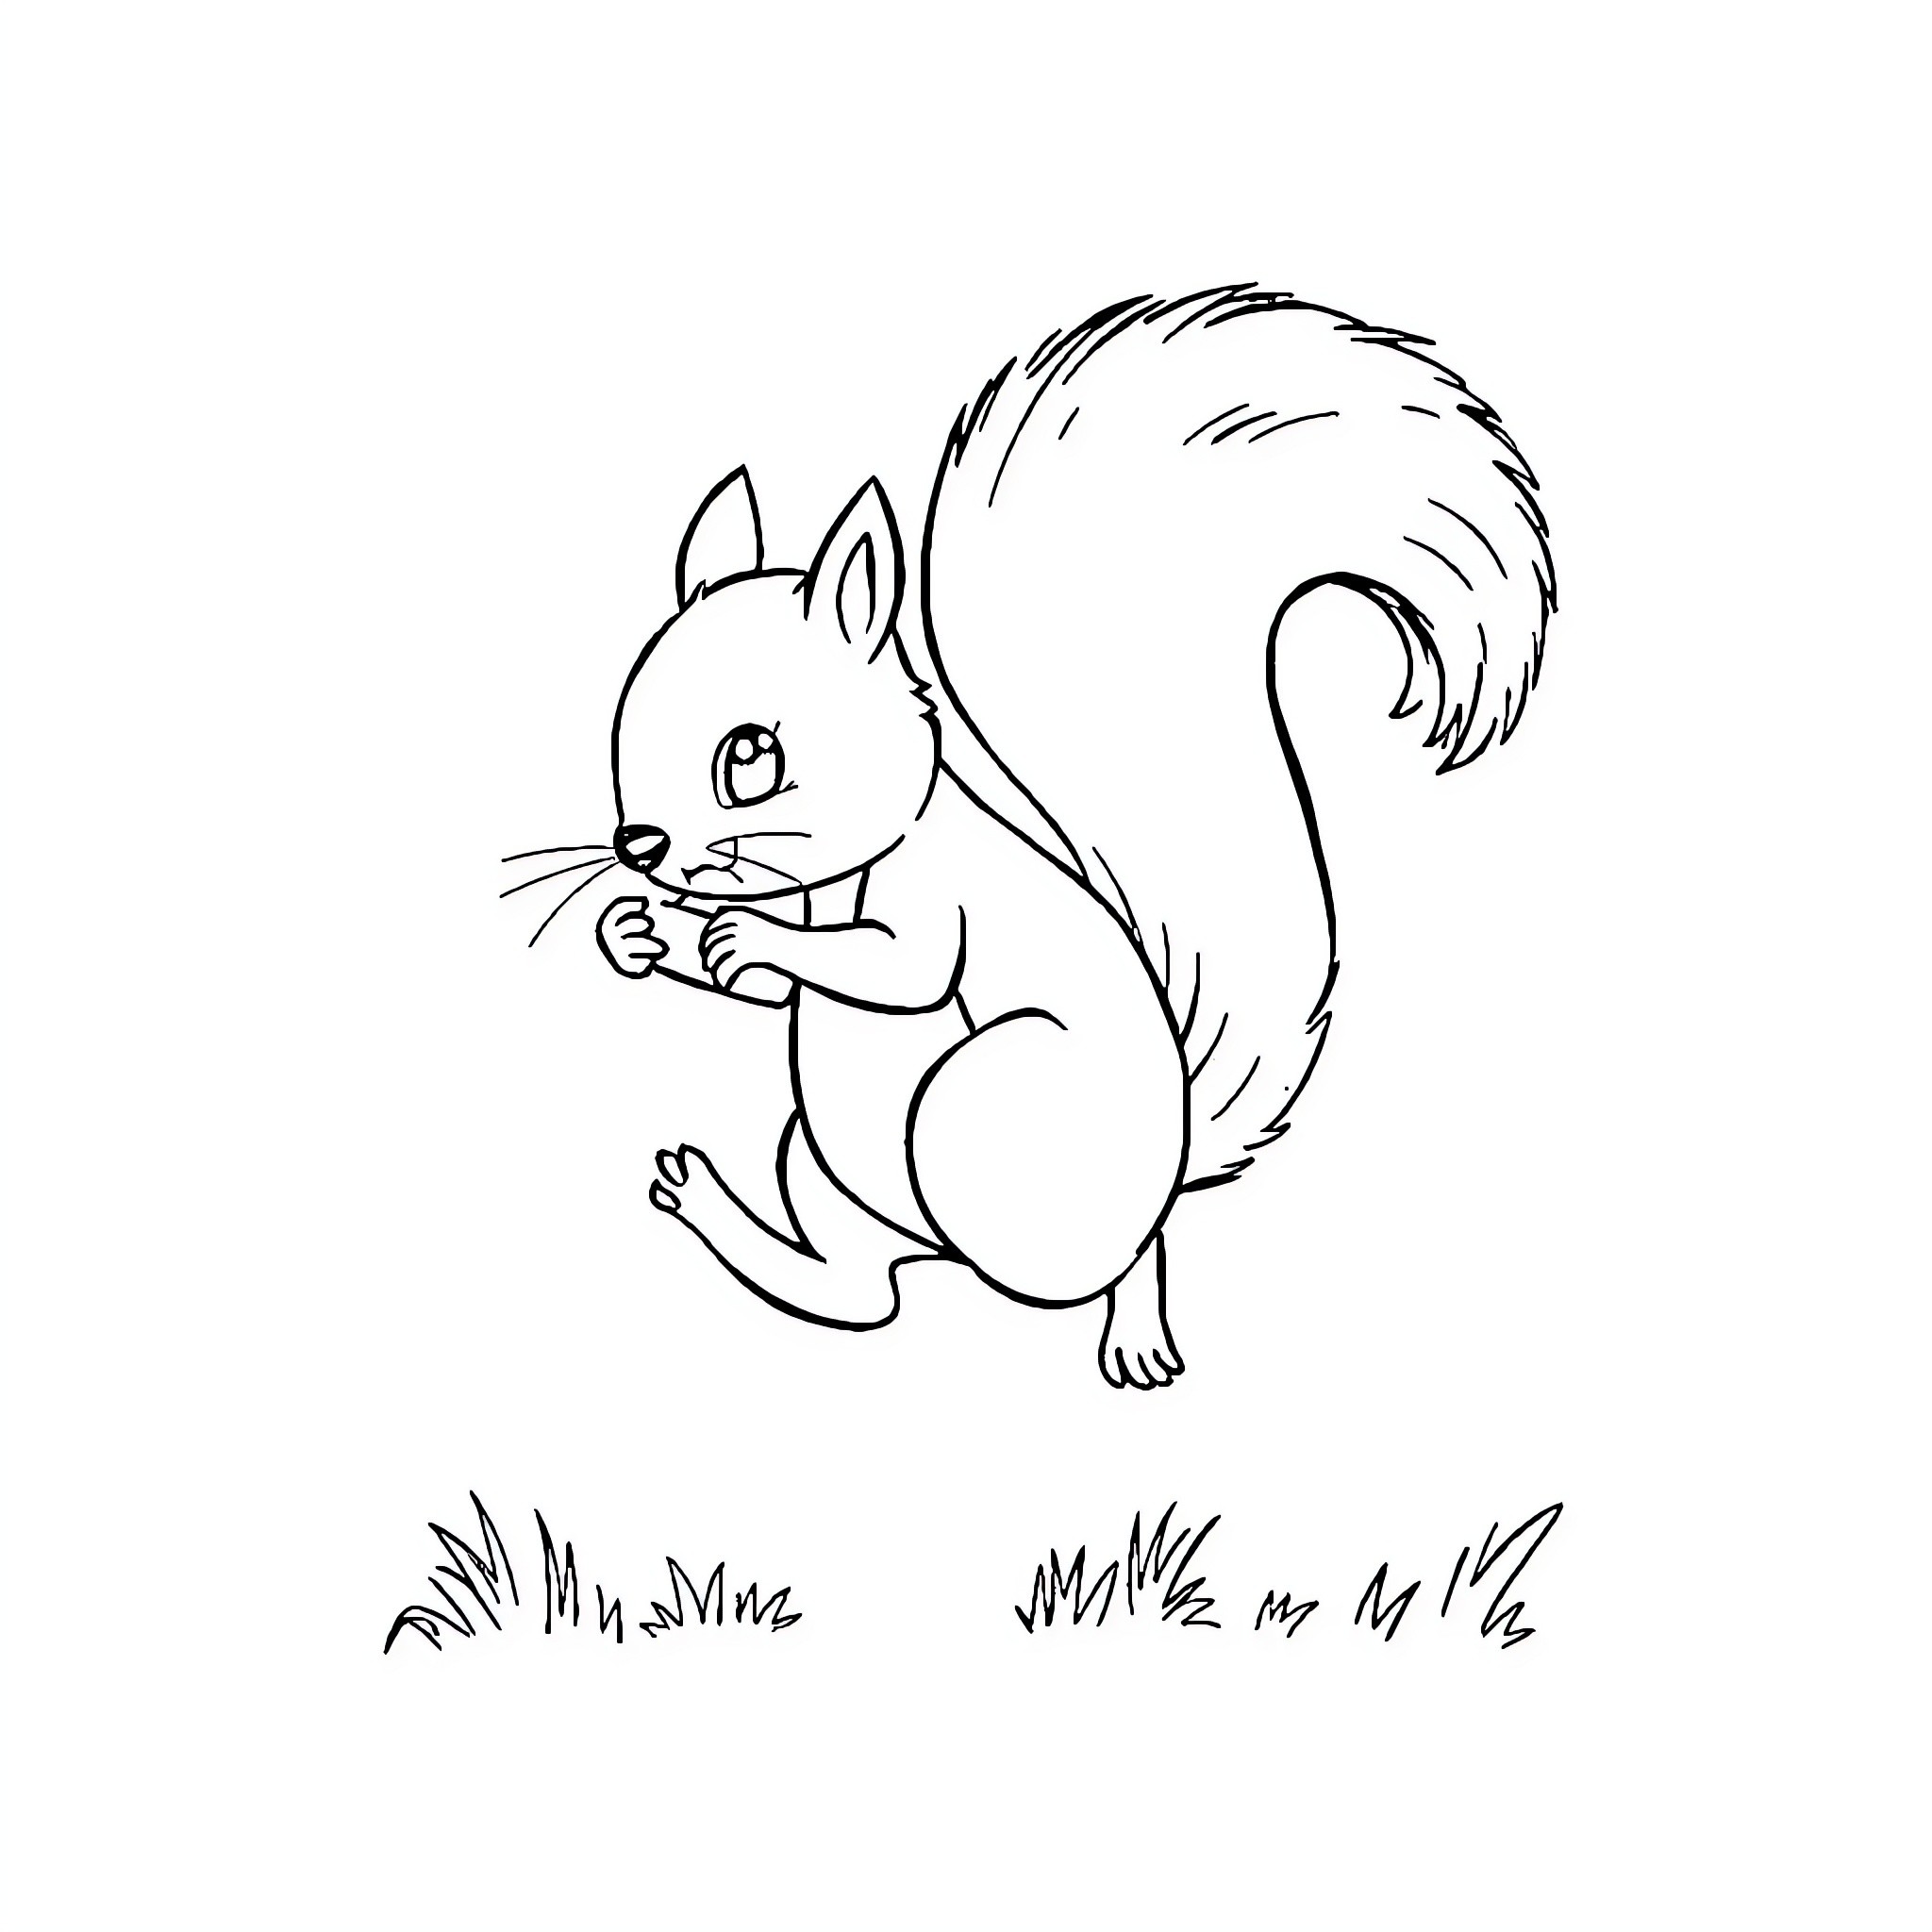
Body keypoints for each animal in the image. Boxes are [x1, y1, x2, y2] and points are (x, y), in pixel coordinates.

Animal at [578, 286, 1554, 1390]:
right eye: (625, 724)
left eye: (752, 755)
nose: (638, 845)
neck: (849, 870)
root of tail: (1161, 1172)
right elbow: (774, 997)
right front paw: (640, 935)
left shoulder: (938, 901)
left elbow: (902, 970)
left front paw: (745, 936)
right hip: (816, 1160)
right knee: (857, 1294)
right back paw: (708, 1204)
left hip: (989, 1101)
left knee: (1088, 1263)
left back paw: (1131, 1330)